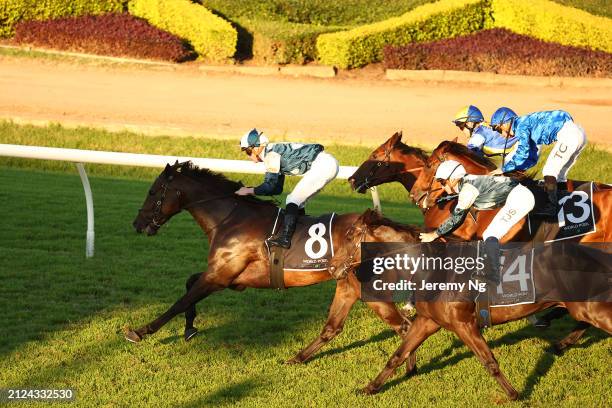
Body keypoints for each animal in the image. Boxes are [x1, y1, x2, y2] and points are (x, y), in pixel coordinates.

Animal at [128, 161, 416, 364]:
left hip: (369, 290)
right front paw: (190, 328)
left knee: (404, 326)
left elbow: (180, 301)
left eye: (152, 192)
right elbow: (189, 285)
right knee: (337, 327)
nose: (138, 224)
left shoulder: (220, 275)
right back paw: (298, 359)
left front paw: (140, 331)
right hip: (348, 284)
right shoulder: (230, 277)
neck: (231, 218)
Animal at [330, 212, 612, 400]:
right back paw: (559, 342)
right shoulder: (428, 321)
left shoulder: (464, 323)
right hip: (585, 308)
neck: (434, 268)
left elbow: (489, 362)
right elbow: (397, 356)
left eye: (350, 235)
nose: (332, 267)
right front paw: (369, 388)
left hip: (592, 308)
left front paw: (515, 394)